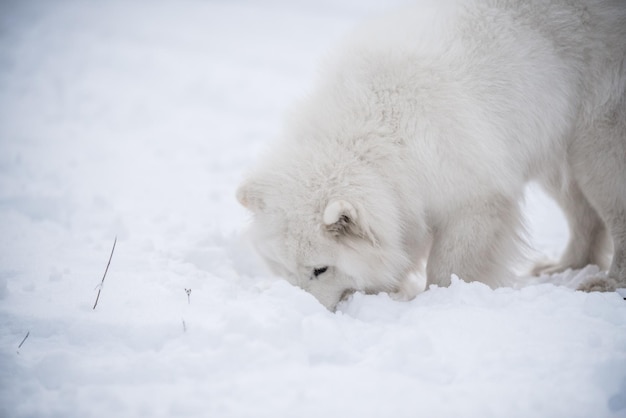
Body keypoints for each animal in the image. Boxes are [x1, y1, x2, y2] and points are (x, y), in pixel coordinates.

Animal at [235, 0, 624, 310]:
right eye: (284, 267)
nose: (304, 310)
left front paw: (440, 298)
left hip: (597, 133)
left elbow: (453, 259)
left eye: (320, 268)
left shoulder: (470, 186)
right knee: (581, 211)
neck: (379, 130)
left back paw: (606, 282)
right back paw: (565, 266)